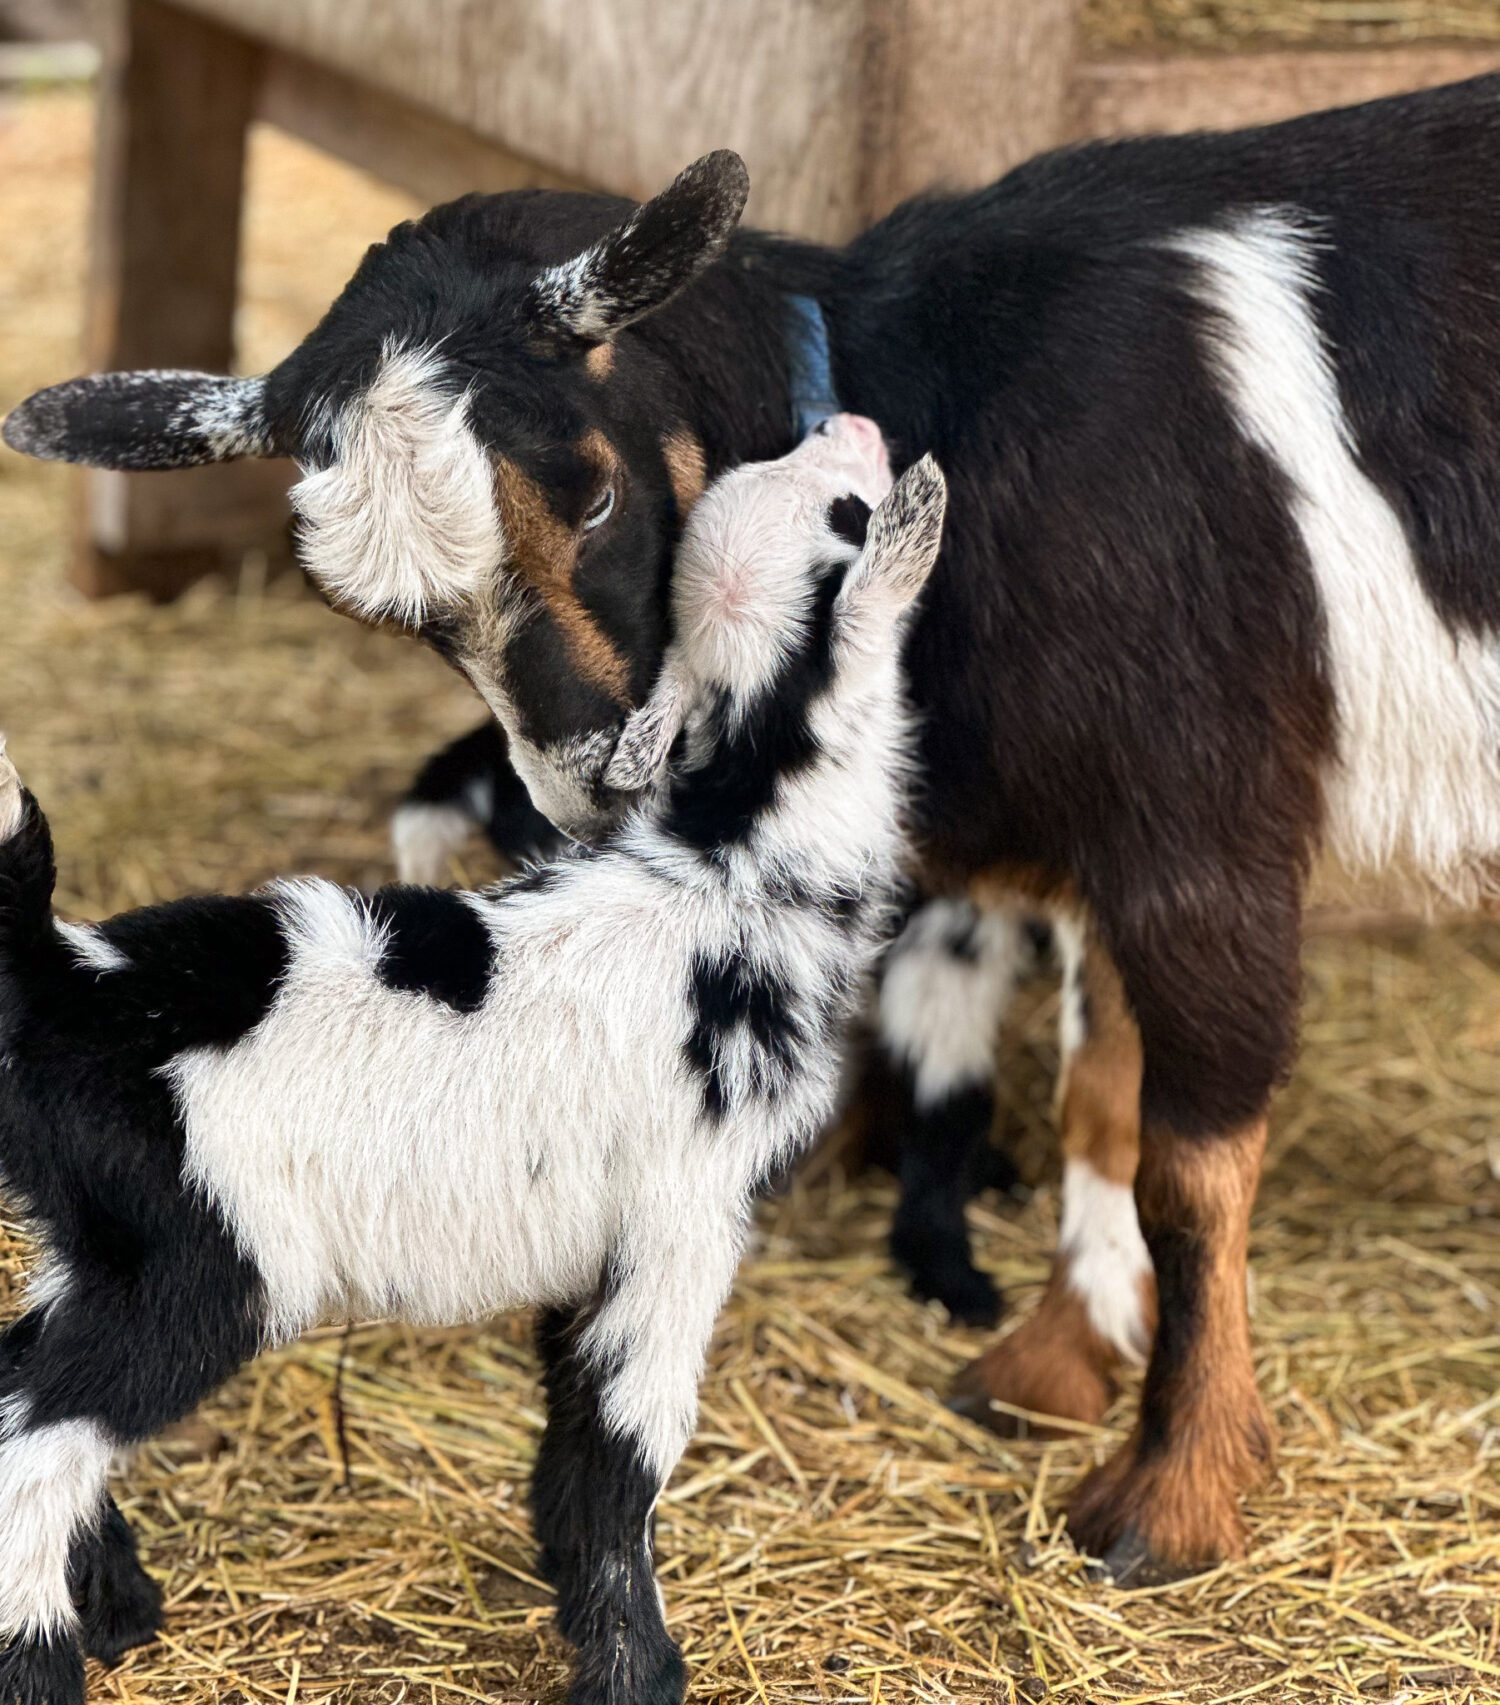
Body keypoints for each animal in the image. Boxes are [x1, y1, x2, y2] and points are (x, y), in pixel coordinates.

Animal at [0, 425, 943, 1705]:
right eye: (846, 516)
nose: (851, 430)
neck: (734, 872)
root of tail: (73, 976)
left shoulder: (598, 1244)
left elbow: (572, 1436)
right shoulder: (684, 1221)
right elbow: (626, 1442)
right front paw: (636, 1670)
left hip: (97, 1239)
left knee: (23, 1376)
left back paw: (119, 1605)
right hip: (197, 1260)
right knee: (34, 1435)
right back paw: (43, 1660)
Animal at [14, 75, 1500, 1580]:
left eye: (594, 489)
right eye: (392, 615)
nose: (597, 783)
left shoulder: (1204, 826)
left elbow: (1189, 1171)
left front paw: (1173, 1496)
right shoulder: (1113, 838)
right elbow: (1103, 1100)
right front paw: (1054, 1364)